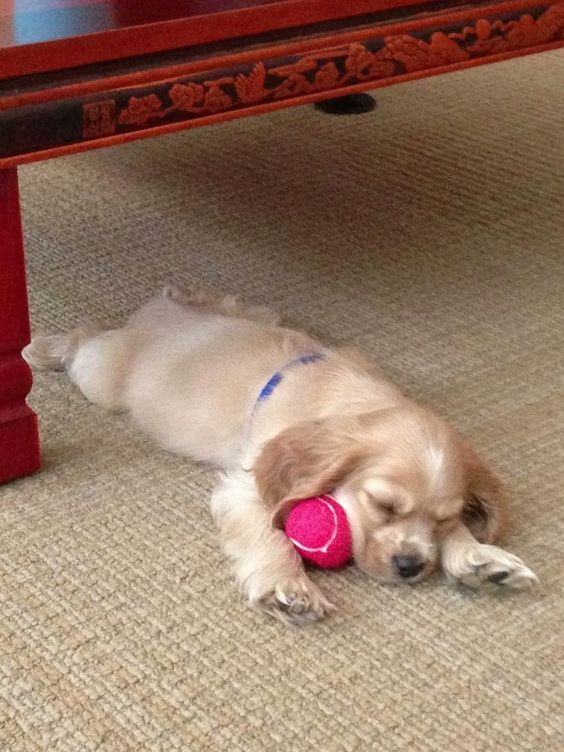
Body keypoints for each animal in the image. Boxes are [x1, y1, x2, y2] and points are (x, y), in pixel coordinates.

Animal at [25, 284, 536, 624]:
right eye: (382, 505)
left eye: (443, 519)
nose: (410, 567)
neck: (350, 397)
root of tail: (158, 313)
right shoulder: (245, 485)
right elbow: (270, 533)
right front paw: (288, 586)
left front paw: (480, 558)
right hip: (101, 375)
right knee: (85, 338)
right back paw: (44, 348)